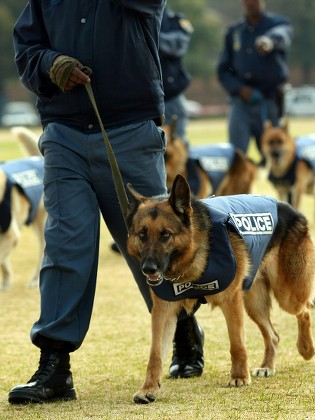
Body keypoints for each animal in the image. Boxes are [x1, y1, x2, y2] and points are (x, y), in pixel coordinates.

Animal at [126, 174, 315, 404]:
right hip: (255, 303)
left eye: (165, 235)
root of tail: (291, 209)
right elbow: (155, 354)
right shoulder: (163, 312)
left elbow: (237, 343)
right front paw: (148, 388)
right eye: (142, 235)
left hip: (286, 295)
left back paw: (306, 349)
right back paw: (267, 366)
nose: (148, 268)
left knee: (304, 310)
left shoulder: (231, 301)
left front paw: (239, 377)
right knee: (273, 335)